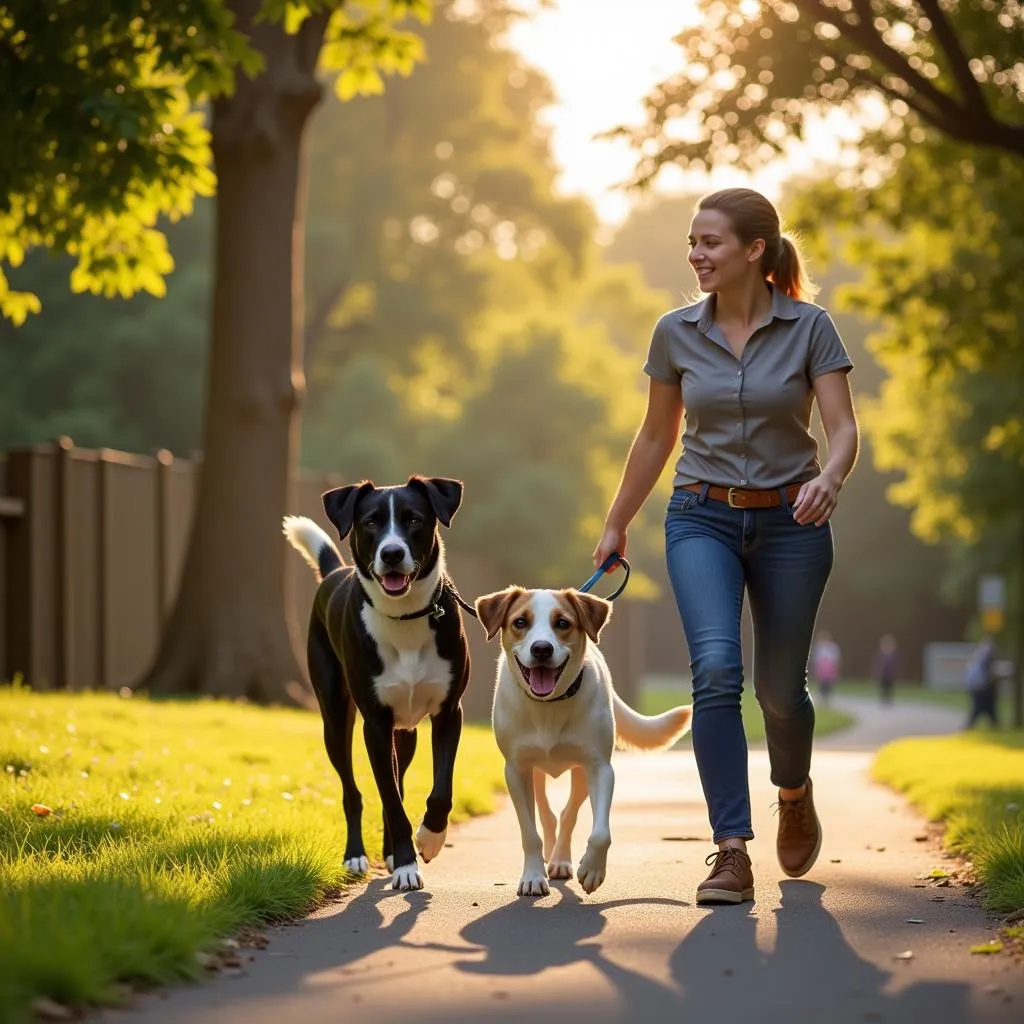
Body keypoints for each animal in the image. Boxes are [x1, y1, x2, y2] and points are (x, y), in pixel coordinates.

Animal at [282, 475, 468, 892]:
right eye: (370, 523)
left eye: (414, 519)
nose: (393, 553)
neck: (405, 617)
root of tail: (335, 573)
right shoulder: (376, 725)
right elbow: (391, 801)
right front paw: (407, 865)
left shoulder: (449, 713)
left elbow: (440, 791)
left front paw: (429, 840)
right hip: (336, 720)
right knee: (354, 791)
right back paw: (357, 855)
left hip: (407, 733)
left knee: (395, 783)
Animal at [475, 585, 692, 897]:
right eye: (520, 622)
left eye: (562, 623)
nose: (542, 648)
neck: (549, 706)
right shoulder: (516, 770)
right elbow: (529, 831)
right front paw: (533, 876)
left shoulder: (599, 767)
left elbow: (600, 832)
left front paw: (592, 869)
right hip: (535, 774)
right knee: (548, 815)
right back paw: (549, 856)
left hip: (579, 774)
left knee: (568, 814)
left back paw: (560, 860)